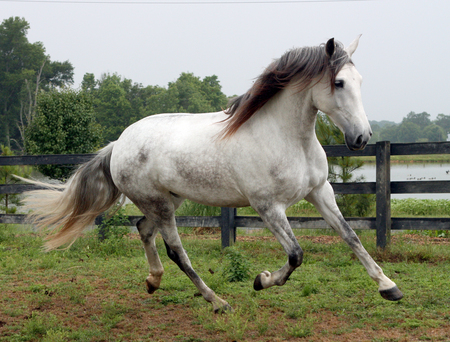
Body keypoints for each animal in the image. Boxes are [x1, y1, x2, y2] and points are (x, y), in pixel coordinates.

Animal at [22, 36, 404, 312]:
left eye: (359, 80)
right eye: (338, 83)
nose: (361, 138)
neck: (286, 138)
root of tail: (118, 144)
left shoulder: (320, 191)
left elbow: (351, 237)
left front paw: (389, 287)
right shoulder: (268, 207)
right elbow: (296, 254)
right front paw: (261, 280)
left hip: (166, 201)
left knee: (143, 229)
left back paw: (153, 281)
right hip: (160, 204)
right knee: (176, 251)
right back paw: (217, 301)